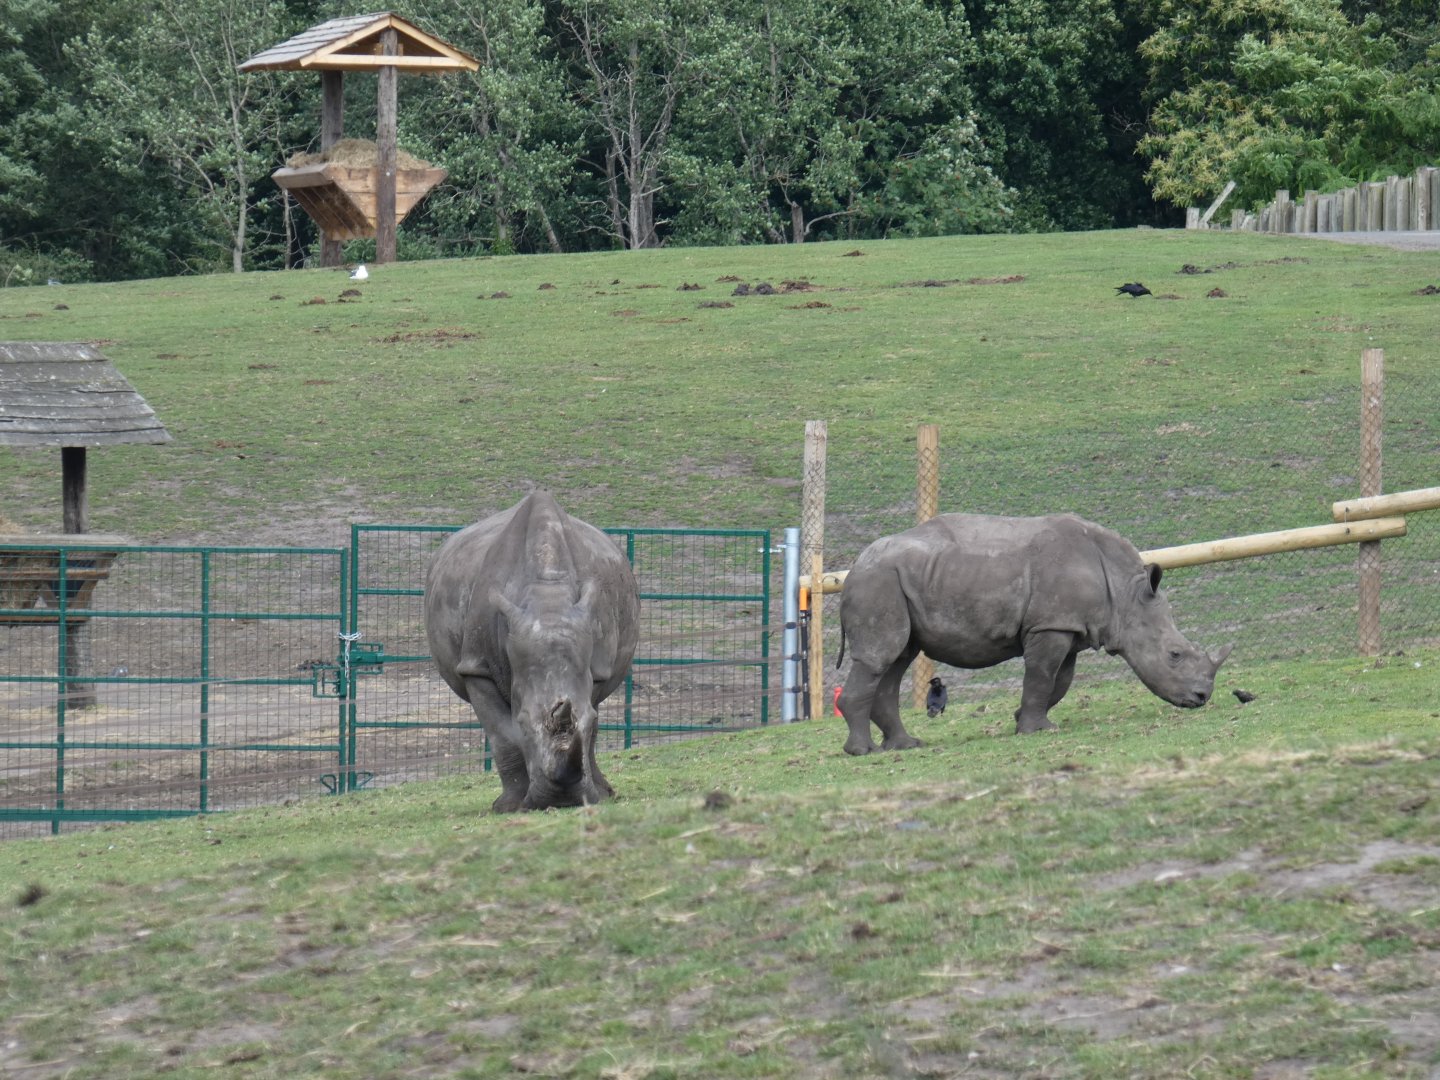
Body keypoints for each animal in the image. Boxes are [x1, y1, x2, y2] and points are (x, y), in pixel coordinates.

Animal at [424, 492, 640, 811]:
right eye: (523, 724)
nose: (561, 800)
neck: (547, 597)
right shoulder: (477, 667)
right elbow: (504, 737)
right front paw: (509, 806)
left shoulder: (597, 668)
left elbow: (591, 724)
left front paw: (598, 796)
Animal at [836, 513, 1230, 753]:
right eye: (1174, 655)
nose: (1201, 697)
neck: (1125, 592)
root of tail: (853, 567)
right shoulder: (1051, 625)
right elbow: (1041, 676)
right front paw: (1035, 730)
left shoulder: (1068, 626)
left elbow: (1060, 681)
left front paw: (1021, 719)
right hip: (878, 581)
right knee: (878, 659)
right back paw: (862, 751)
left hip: (899, 582)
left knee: (897, 660)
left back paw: (905, 745)